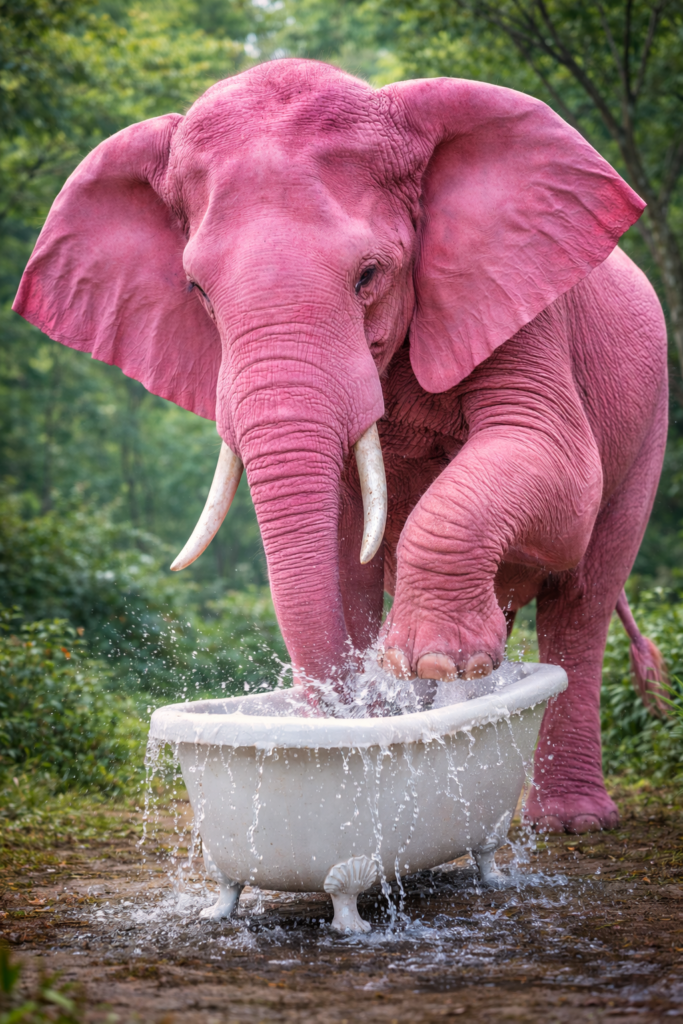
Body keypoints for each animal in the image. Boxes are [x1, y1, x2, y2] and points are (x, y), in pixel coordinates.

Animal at [14, 59, 669, 835]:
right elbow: (337, 549)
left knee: (583, 600)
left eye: (368, 275)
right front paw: (399, 690)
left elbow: (559, 464)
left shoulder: (520, 292)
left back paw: (568, 820)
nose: (346, 715)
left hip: (650, 428)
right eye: (196, 290)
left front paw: (430, 664)